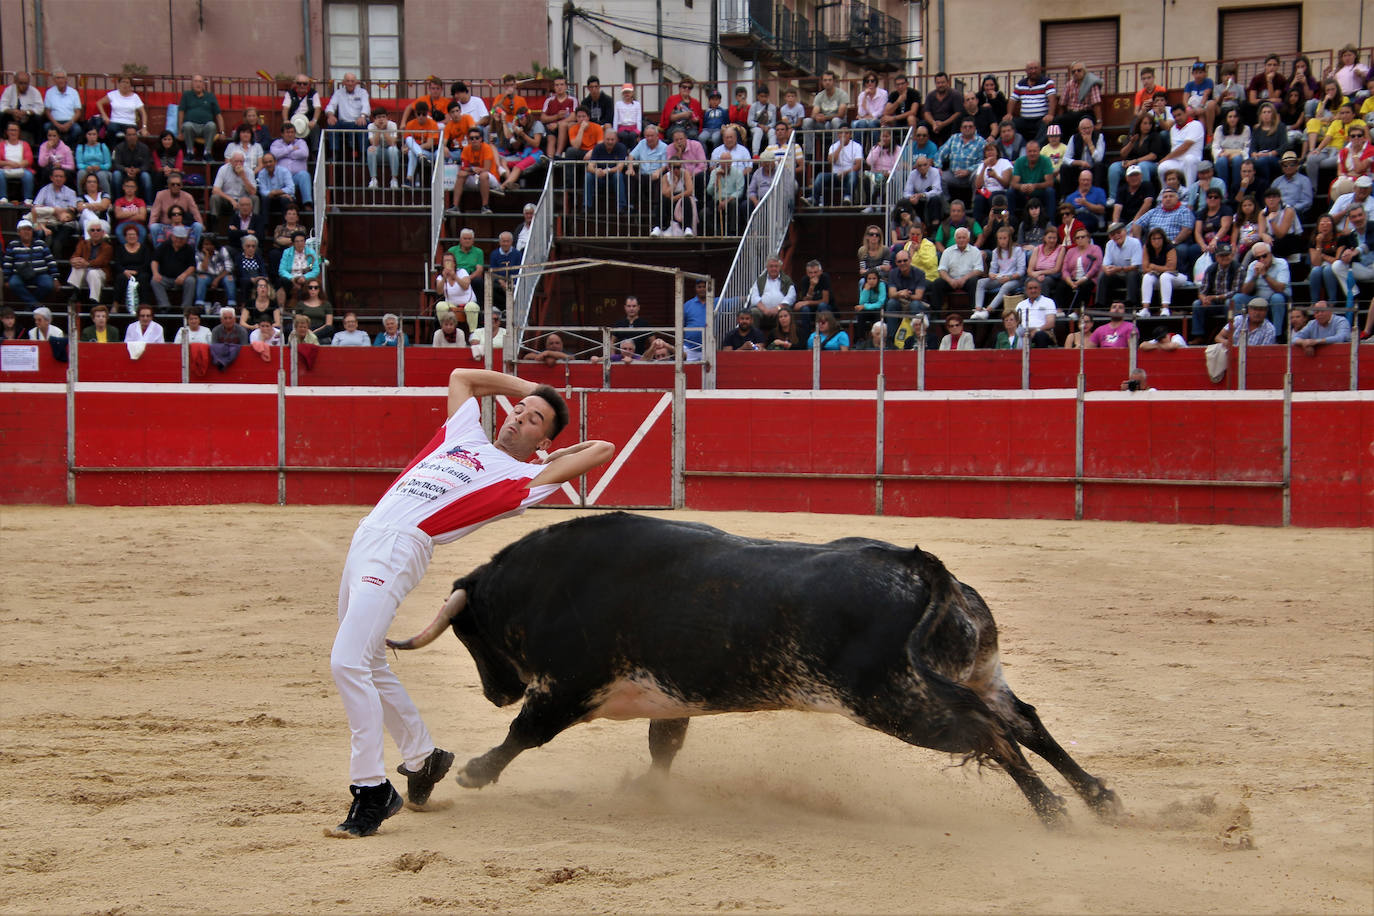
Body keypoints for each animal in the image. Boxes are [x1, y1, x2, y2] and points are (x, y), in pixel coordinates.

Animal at [392, 516, 1121, 823]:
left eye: (471, 635)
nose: (495, 691)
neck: (542, 583)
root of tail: (923, 568)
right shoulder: (669, 698)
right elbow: (664, 748)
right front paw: (647, 791)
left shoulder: (571, 688)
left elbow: (526, 733)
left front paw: (475, 772)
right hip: (977, 672)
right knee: (1024, 725)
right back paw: (1099, 800)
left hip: (897, 702)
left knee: (987, 736)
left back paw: (1054, 812)